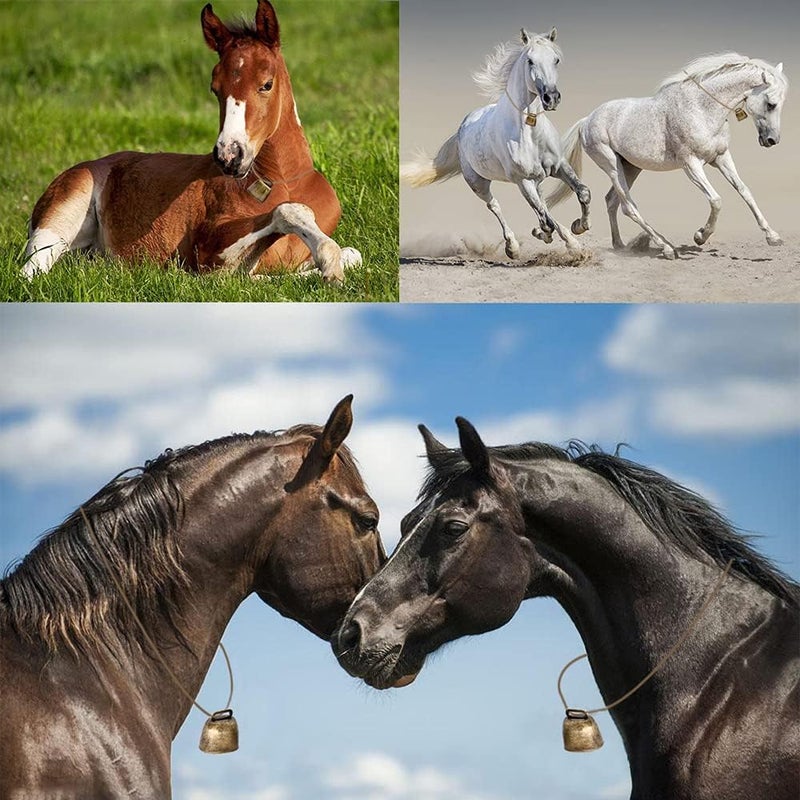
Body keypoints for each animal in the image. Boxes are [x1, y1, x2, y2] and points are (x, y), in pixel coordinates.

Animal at [21, 0, 361, 283]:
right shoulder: (208, 250)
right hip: (60, 216)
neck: (282, 181)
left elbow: (353, 254)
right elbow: (284, 217)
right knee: (31, 271)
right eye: (215, 88)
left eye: (266, 84)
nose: (229, 155)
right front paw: (328, 264)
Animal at [400, 28, 590, 258]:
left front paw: (579, 228)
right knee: (495, 206)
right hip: (478, 183)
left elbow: (582, 193)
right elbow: (546, 220)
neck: (530, 131)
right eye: (530, 61)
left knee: (542, 205)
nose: (551, 97)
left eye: (556, 59)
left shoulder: (559, 165)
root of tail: (462, 127)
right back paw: (512, 247)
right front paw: (557, 239)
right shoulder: (522, 180)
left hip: (534, 180)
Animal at [546, 53, 788, 259]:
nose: (772, 140)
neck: (701, 109)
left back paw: (620, 245)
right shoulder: (691, 164)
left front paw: (773, 237)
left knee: (612, 201)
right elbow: (716, 200)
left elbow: (745, 192)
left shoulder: (721, 158)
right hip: (612, 166)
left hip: (631, 167)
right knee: (628, 207)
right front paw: (700, 236)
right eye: (771, 104)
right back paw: (667, 248)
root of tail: (586, 120)